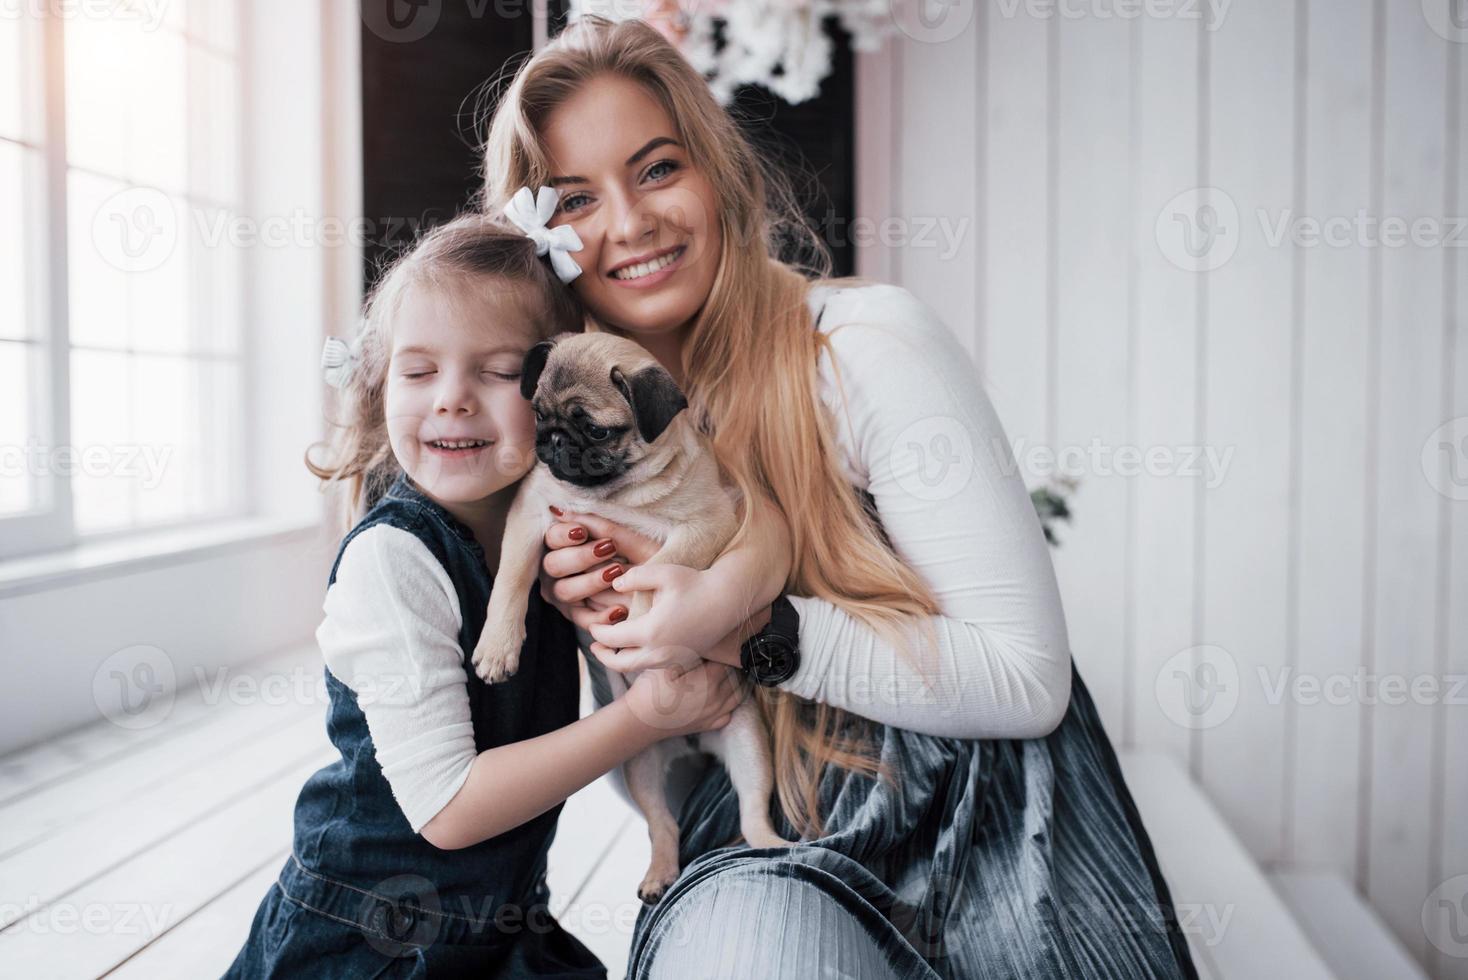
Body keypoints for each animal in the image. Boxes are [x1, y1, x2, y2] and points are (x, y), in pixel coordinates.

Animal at [469, 328, 792, 903]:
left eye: (596, 429)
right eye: (538, 415)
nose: (552, 439)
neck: (614, 494)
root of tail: (691, 740)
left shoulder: (707, 525)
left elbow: (652, 571)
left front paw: (637, 615)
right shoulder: (532, 513)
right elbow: (512, 579)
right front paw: (498, 646)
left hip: (749, 748)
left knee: (752, 810)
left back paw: (770, 845)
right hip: (639, 765)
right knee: (662, 824)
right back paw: (660, 872)